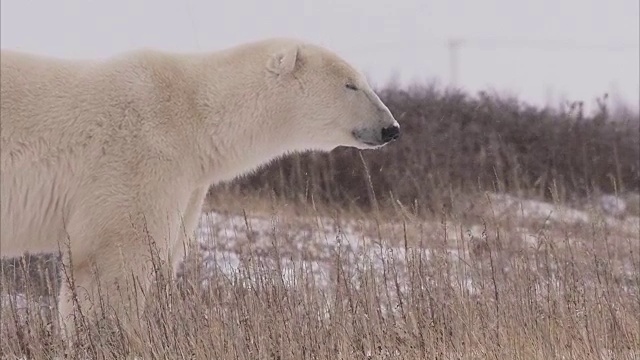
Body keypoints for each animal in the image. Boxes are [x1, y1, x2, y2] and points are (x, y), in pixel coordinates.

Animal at [0, 38, 400, 338]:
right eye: (350, 84)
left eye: (361, 80)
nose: (391, 128)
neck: (196, 115)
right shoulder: (139, 159)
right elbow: (112, 260)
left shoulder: (190, 183)